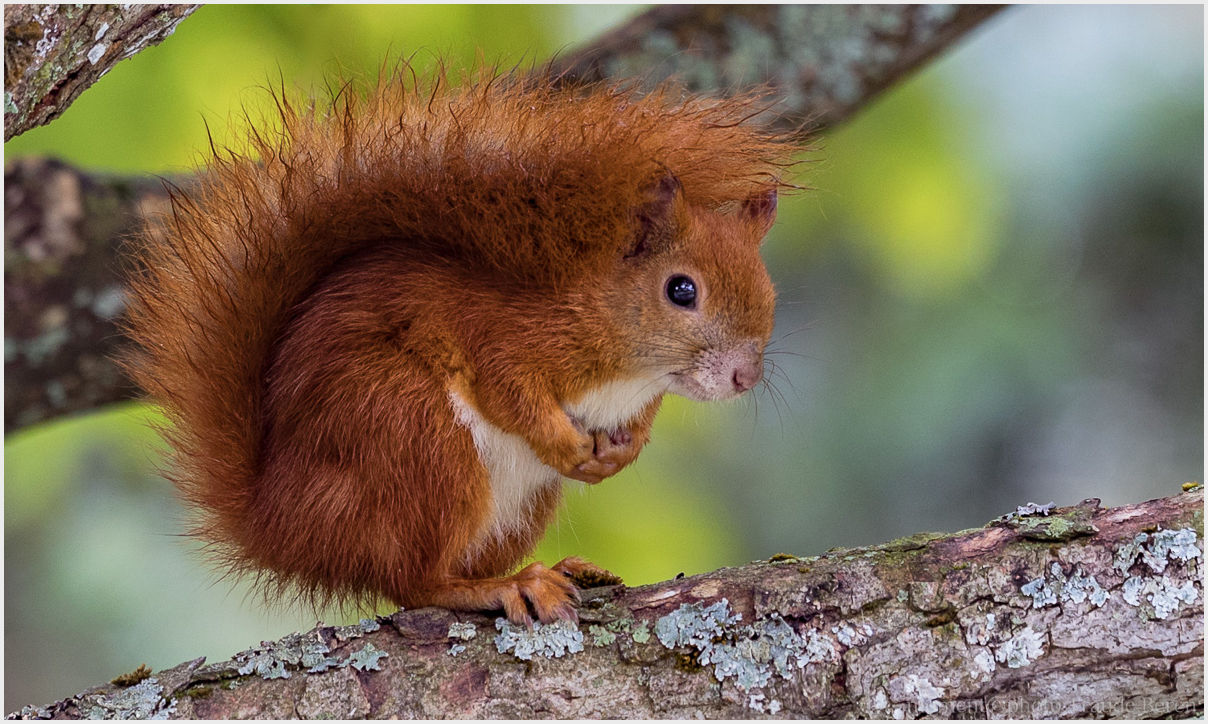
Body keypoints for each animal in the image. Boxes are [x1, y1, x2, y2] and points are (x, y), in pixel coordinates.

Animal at [122, 65, 797, 623]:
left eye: (770, 290)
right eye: (681, 290)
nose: (744, 376)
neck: (627, 367)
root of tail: (284, 527)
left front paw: (618, 455)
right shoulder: (500, 336)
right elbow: (508, 393)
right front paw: (568, 444)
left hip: (514, 503)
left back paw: (552, 569)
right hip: (413, 434)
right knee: (413, 582)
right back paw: (506, 586)